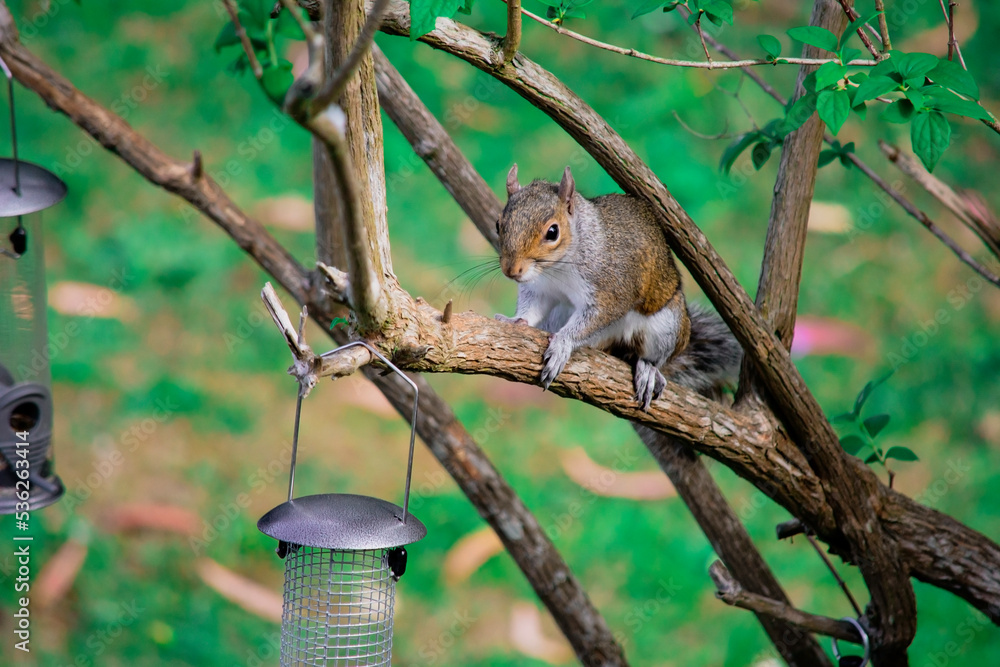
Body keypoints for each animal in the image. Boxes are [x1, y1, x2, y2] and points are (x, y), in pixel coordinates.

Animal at [494, 164, 742, 407]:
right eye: (498, 225)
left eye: (552, 232)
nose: (511, 270)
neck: (557, 267)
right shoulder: (540, 288)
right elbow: (533, 308)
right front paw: (516, 320)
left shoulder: (611, 290)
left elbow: (596, 316)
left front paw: (563, 343)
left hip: (667, 325)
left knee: (655, 356)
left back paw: (649, 370)